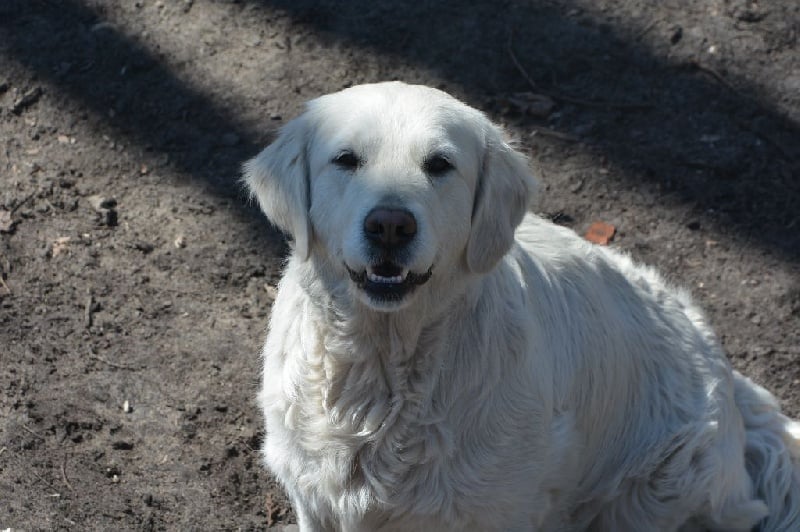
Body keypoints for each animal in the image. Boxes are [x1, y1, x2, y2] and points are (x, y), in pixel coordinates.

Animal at [244, 81, 800, 531]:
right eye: (345, 159)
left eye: (440, 165)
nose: (390, 226)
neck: (383, 364)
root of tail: (725, 370)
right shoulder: (314, 498)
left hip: (663, 487)